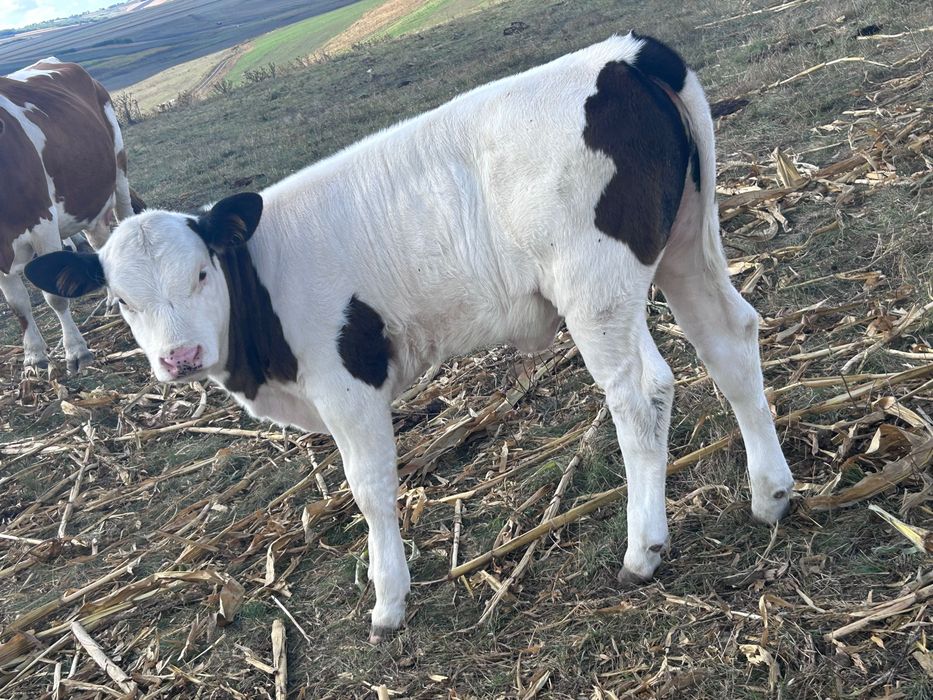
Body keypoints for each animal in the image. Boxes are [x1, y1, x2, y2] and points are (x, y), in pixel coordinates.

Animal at [1, 57, 142, 373]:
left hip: (119, 171)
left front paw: (76, 350)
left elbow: (54, 296)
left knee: (125, 218)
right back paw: (112, 299)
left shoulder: (42, 224)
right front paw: (34, 355)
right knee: (100, 242)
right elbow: (18, 305)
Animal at [26, 34, 795, 642]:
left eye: (200, 273)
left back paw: (642, 548)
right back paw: (770, 493)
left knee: (642, 392)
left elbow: (368, 489)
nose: (179, 357)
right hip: (686, 243)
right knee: (729, 341)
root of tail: (626, 54)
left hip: (595, 286)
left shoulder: (348, 383)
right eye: (122, 301)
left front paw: (387, 601)